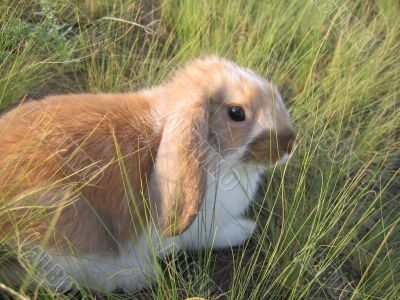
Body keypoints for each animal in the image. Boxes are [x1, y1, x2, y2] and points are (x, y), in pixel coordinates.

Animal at [0, 56, 294, 292]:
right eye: (236, 113)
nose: (290, 143)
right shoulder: (199, 231)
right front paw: (245, 229)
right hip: (65, 223)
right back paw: (138, 276)